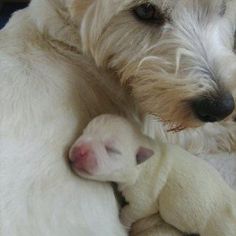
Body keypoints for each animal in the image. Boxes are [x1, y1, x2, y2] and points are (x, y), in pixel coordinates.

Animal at [69, 113, 236, 235]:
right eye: (84, 132)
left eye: (111, 149)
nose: (80, 150)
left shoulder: (143, 197)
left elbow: (133, 210)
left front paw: (123, 223)